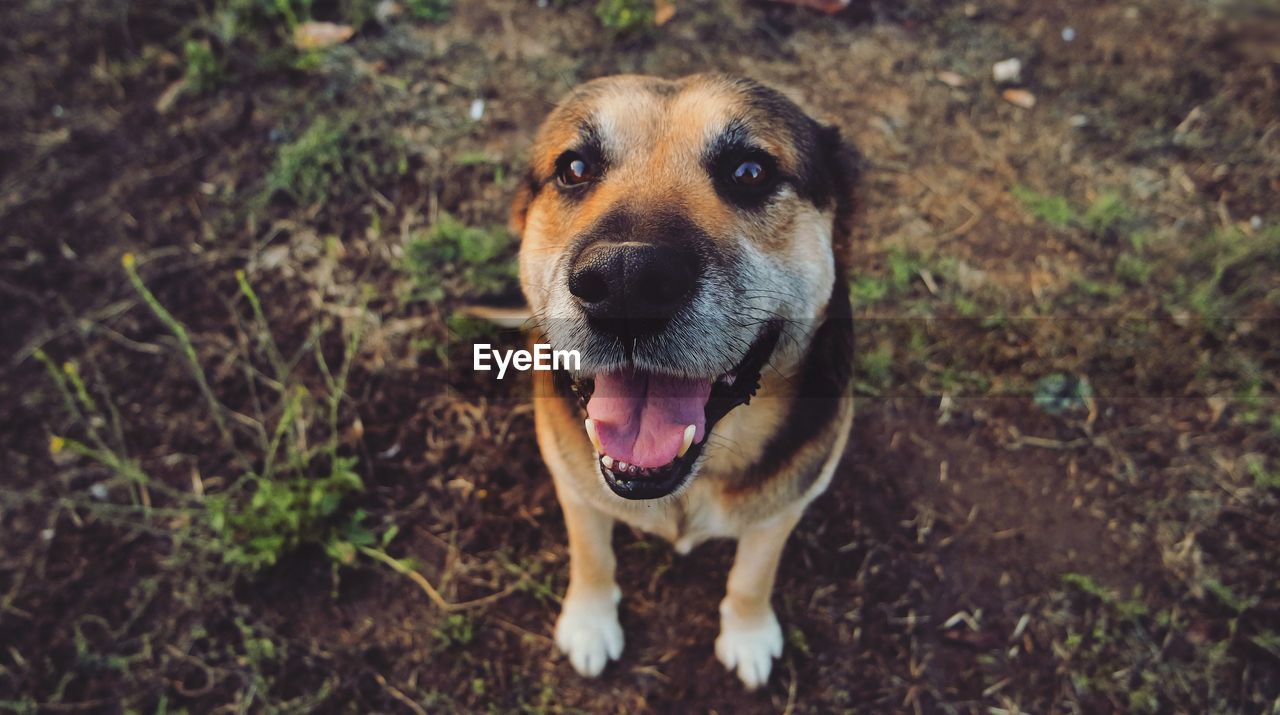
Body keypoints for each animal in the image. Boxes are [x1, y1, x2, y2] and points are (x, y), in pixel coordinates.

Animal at [512, 72, 860, 690]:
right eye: (574, 168)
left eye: (750, 172)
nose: (625, 283)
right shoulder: (573, 484)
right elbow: (592, 554)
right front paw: (590, 621)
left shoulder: (784, 507)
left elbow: (752, 575)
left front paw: (747, 634)